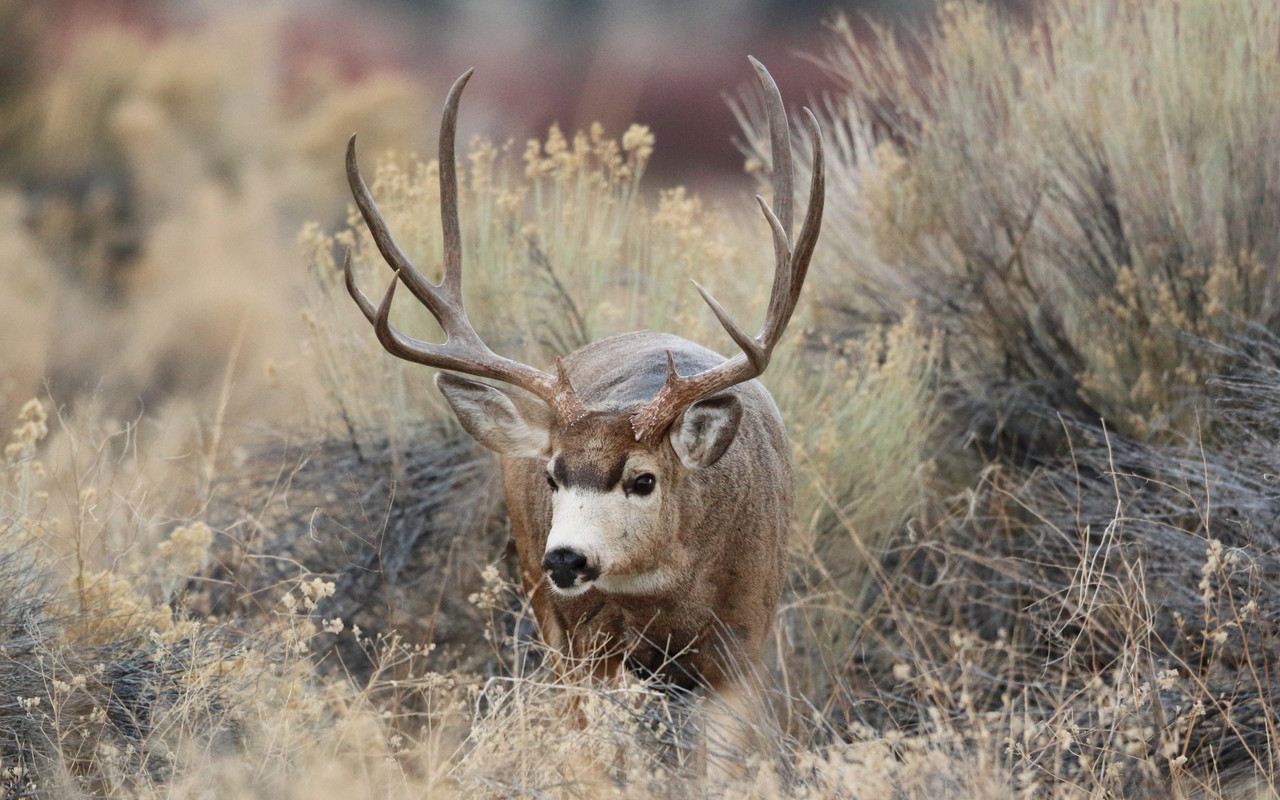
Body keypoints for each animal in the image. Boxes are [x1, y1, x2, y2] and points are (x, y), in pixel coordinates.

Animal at [342, 58, 823, 702]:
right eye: (552, 475)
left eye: (643, 480)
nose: (567, 559)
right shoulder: (588, 644)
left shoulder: (744, 641)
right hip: (544, 605)